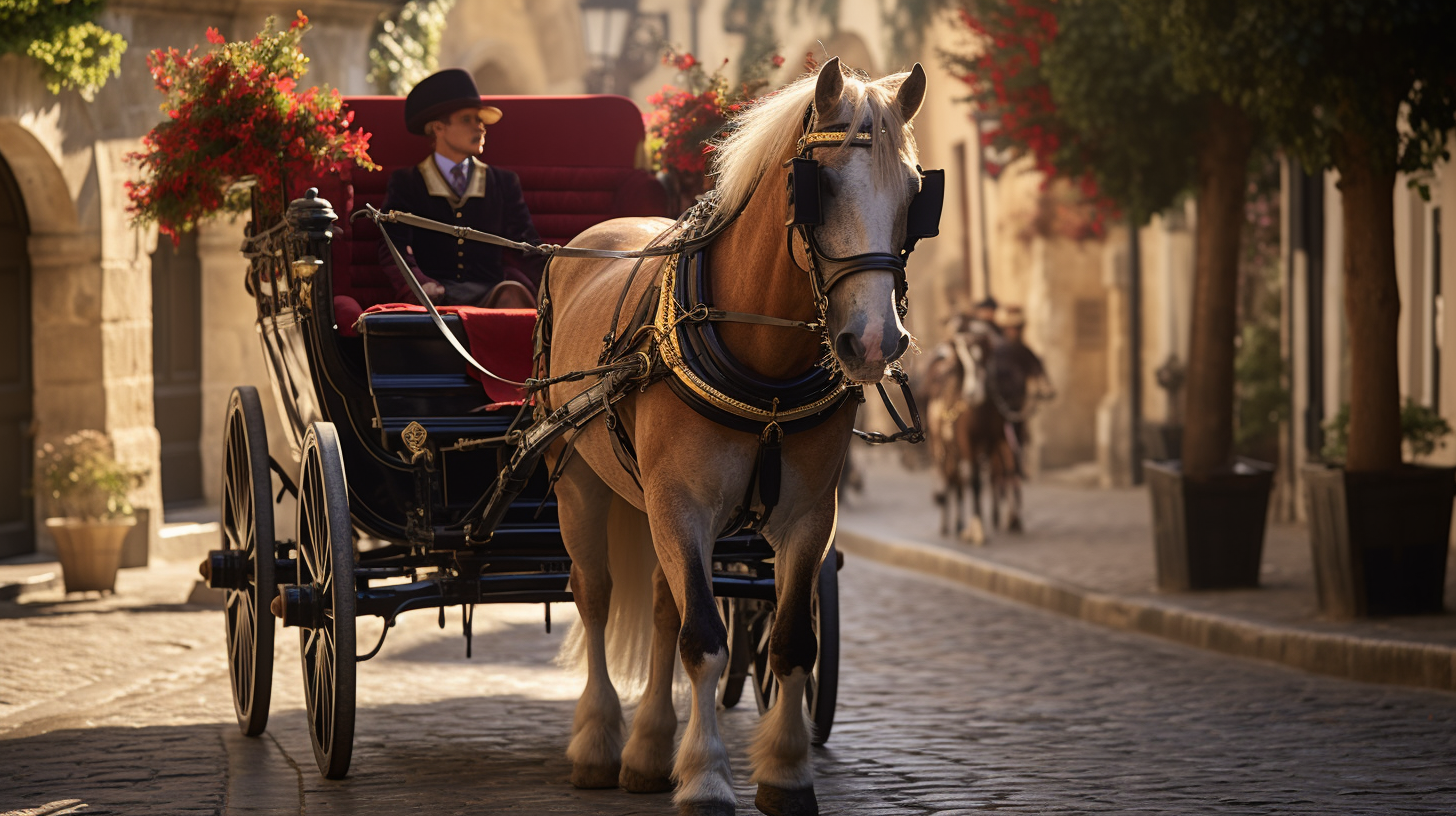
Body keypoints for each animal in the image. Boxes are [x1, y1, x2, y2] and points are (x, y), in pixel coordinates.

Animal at [538, 59, 931, 816]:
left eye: (917, 193)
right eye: (818, 186)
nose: (873, 341)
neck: (766, 373)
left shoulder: (808, 517)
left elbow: (792, 643)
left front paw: (785, 773)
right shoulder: (683, 505)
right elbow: (706, 643)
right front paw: (708, 779)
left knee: (662, 606)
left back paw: (648, 749)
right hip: (581, 483)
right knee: (596, 596)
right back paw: (598, 743)